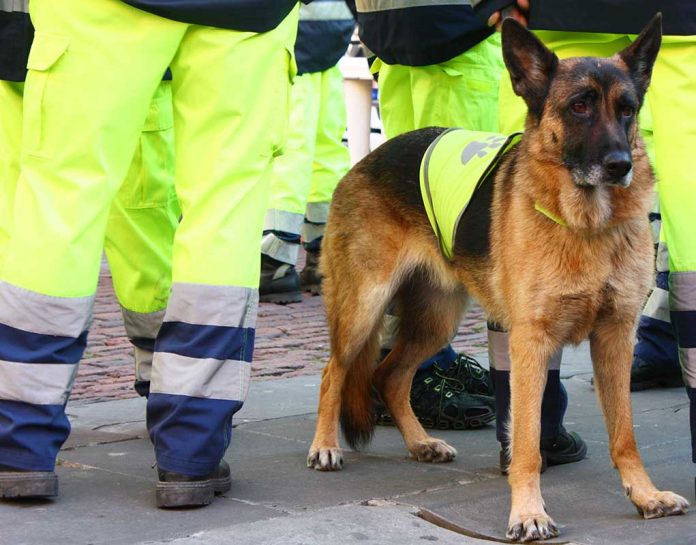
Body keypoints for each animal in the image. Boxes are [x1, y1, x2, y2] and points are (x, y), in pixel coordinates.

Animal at [308, 14, 688, 540]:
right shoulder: (530, 343)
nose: (620, 166)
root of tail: (364, 159)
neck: (585, 225)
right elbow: (526, 440)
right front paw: (528, 513)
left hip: (436, 322)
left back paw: (421, 442)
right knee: (334, 372)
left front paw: (645, 495)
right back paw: (325, 445)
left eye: (627, 109)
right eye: (579, 106)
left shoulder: (615, 338)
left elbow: (624, 435)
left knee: (389, 376)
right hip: (363, 308)